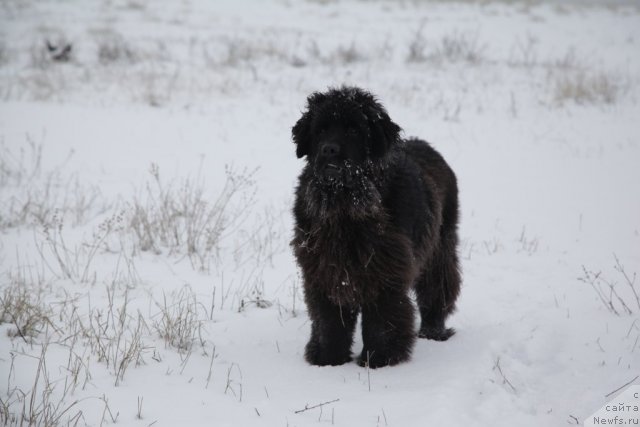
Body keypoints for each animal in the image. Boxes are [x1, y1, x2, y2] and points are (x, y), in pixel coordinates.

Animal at [290, 86, 460, 368]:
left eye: (354, 130)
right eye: (321, 130)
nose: (329, 150)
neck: (346, 207)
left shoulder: (386, 269)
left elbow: (382, 318)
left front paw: (381, 358)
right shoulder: (323, 268)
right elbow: (328, 318)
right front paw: (327, 358)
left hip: (440, 247)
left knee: (438, 288)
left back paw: (433, 331)